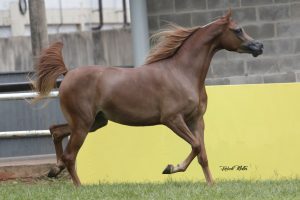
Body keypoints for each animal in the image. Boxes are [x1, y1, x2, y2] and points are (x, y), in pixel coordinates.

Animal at [32, 10, 262, 186]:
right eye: (238, 29)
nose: (259, 46)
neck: (182, 72)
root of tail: (68, 73)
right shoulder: (172, 119)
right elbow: (196, 145)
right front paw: (170, 168)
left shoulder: (196, 120)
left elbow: (202, 153)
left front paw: (211, 183)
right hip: (82, 124)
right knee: (70, 155)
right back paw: (78, 186)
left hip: (95, 122)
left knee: (55, 131)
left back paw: (55, 169)